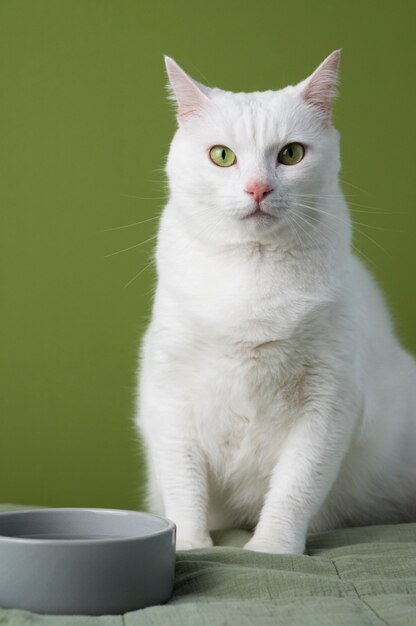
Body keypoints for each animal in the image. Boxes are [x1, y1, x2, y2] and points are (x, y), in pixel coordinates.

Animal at [135, 52, 414, 552]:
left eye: (291, 153)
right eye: (222, 155)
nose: (257, 189)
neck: (253, 271)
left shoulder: (328, 400)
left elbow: (296, 485)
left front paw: (272, 549)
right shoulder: (169, 393)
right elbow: (184, 484)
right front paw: (190, 545)